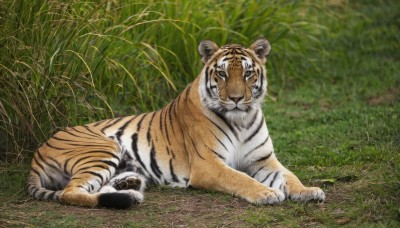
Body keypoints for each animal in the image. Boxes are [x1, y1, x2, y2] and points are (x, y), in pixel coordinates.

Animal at [28, 38, 324, 208]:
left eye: (248, 73)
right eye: (222, 74)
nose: (237, 99)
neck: (241, 118)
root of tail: (38, 149)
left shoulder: (263, 160)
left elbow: (289, 176)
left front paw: (308, 191)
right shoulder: (209, 165)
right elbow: (240, 178)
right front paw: (266, 193)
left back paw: (129, 187)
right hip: (101, 149)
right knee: (69, 193)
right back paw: (130, 198)